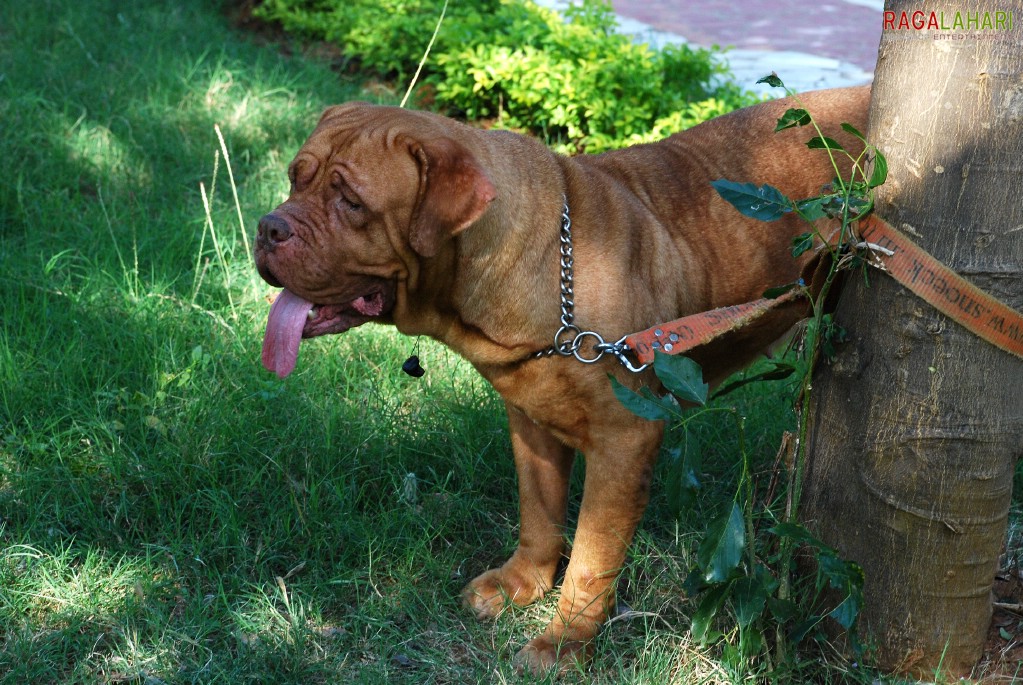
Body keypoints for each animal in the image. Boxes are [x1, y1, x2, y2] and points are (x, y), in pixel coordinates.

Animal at [255, 87, 871, 674]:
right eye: (295, 178)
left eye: (351, 202)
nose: (267, 227)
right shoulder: (530, 419)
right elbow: (540, 510)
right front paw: (521, 583)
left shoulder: (624, 443)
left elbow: (592, 558)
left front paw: (564, 643)